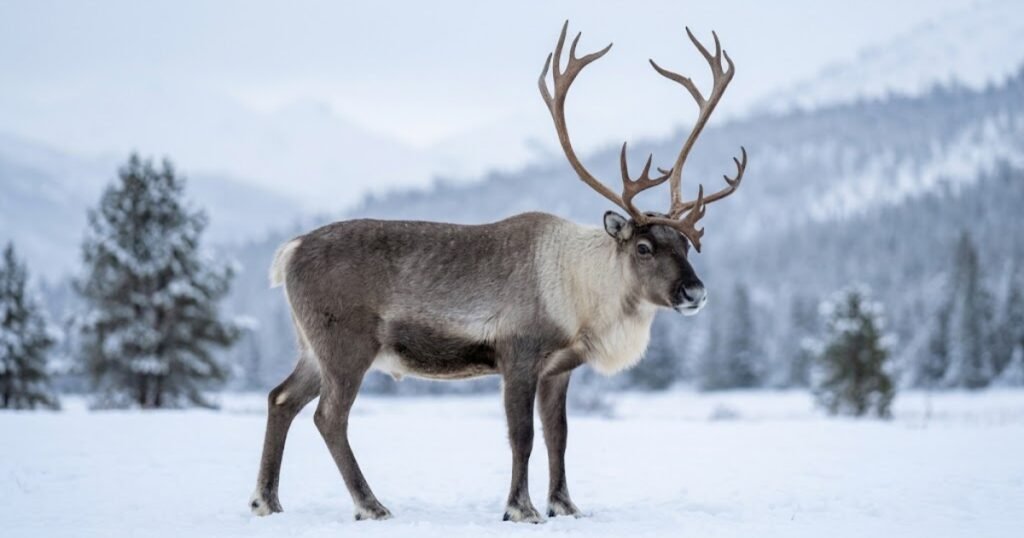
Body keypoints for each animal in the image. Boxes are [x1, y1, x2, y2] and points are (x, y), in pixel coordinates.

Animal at [249, 20, 747, 523]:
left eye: (686, 244)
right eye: (644, 247)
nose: (695, 292)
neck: (583, 296)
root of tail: (288, 252)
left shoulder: (558, 368)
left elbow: (559, 436)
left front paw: (566, 505)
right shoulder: (518, 355)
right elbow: (522, 436)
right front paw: (520, 508)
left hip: (312, 348)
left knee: (280, 398)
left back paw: (266, 501)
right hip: (345, 345)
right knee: (328, 416)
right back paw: (371, 505)